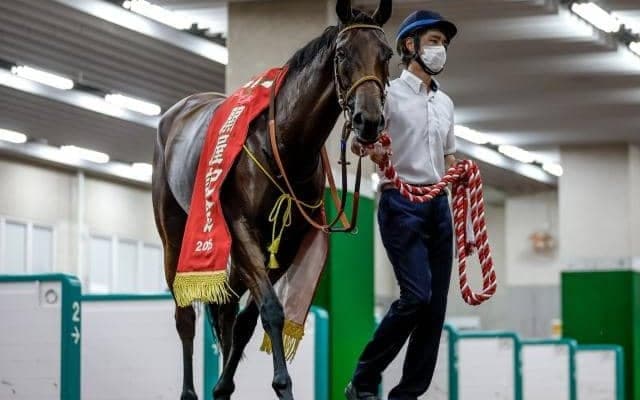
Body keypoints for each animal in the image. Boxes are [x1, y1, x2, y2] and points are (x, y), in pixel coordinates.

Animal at [151, 1, 393, 399]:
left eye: (386, 54)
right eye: (342, 54)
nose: (368, 120)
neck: (282, 144)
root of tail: (177, 113)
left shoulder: (287, 243)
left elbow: (249, 320)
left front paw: (224, 386)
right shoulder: (240, 228)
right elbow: (272, 310)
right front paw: (283, 385)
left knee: (226, 308)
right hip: (176, 235)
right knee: (185, 315)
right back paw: (189, 391)